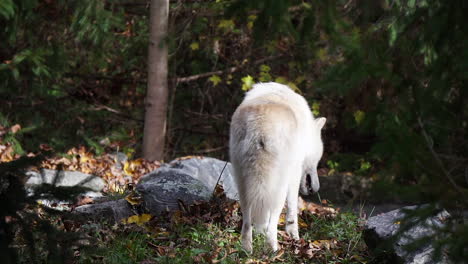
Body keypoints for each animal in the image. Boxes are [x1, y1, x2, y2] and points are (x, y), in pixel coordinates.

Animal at [229, 82, 326, 252]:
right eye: (317, 161)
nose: (316, 187)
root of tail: (260, 126)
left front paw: (260, 233)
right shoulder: (295, 173)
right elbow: (292, 210)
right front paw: (294, 236)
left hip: (243, 184)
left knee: (247, 222)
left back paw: (247, 250)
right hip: (278, 188)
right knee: (272, 223)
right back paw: (274, 249)